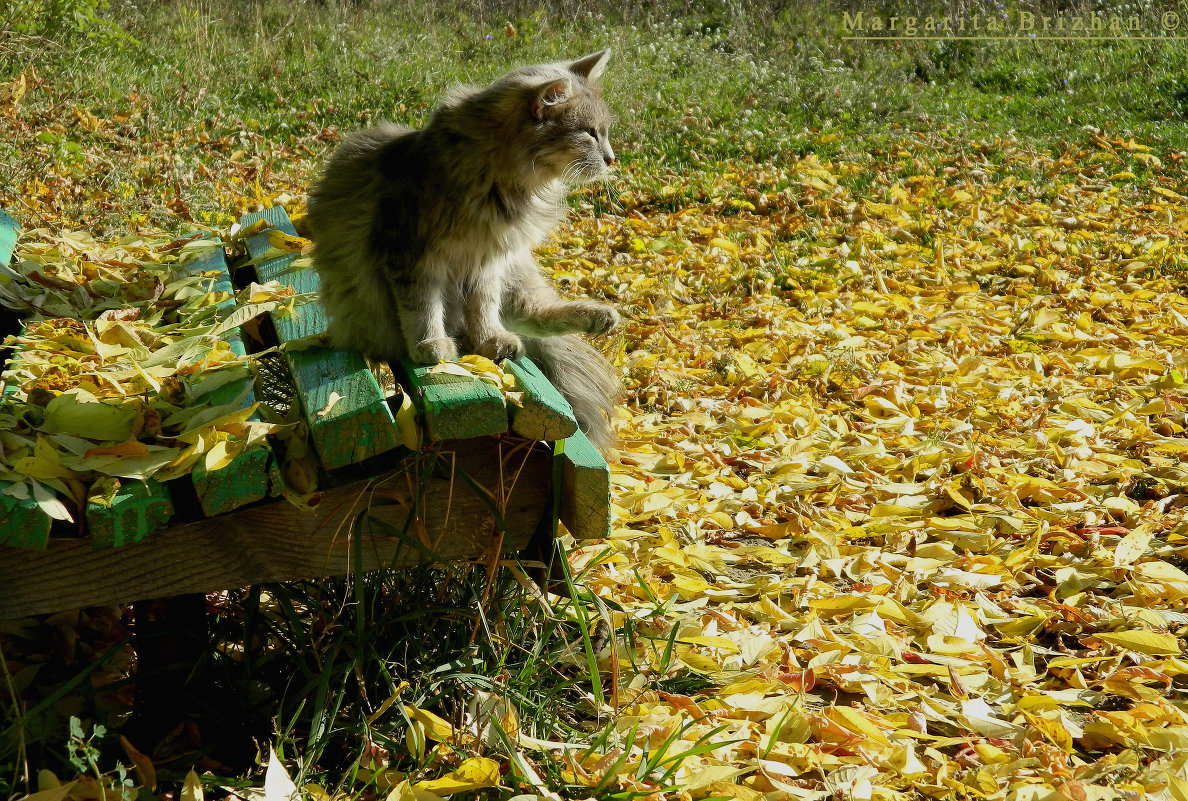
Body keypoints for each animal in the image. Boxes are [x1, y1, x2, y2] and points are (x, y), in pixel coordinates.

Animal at [306, 48, 622, 449]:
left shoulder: (488, 260)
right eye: (589, 133)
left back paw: (596, 317)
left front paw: (489, 340)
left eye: (604, 133)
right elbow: (422, 308)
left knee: (533, 313)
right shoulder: (411, 254)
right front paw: (432, 347)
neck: (502, 183)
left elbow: (484, 307)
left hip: (518, 267)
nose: (612, 159)